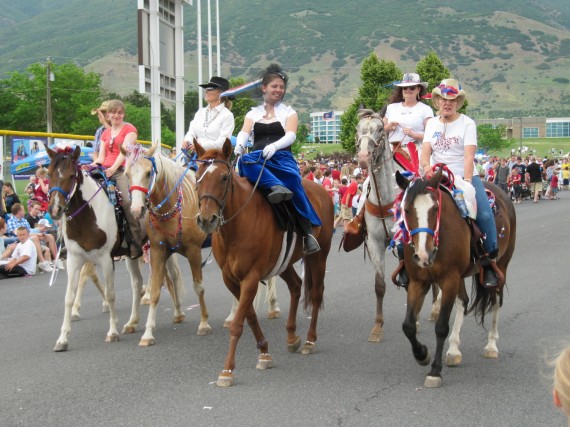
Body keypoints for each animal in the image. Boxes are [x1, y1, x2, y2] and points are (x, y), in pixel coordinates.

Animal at [46, 145, 182, 352]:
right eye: (49, 174)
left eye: (70, 175)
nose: (55, 209)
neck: (88, 215)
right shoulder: (74, 259)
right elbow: (69, 297)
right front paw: (62, 339)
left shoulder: (105, 259)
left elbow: (110, 295)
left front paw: (112, 332)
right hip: (133, 255)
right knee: (137, 283)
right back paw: (132, 322)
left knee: (172, 276)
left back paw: (178, 313)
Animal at [193, 140, 332, 388]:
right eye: (197, 176)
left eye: (224, 177)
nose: (206, 219)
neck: (236, 225)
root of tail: (322, 191)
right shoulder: (230, 279)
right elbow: (248, 316)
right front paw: (265, 353)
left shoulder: (251, 277)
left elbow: (238, 323)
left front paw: (227, 370)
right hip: (283, 263)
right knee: (296, 286)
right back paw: (292, 336)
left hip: (319, 256)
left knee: (316, 294)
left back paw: (309, 340)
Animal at [356, 109, 440, 344]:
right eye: (358, 129)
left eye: (379, 129)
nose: (363, 157)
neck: (385, 197)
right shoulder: (375, 242)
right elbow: (379, 285)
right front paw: (377, 327)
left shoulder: (409, 242)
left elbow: (414, 279)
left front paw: (416, 321)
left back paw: (435, 309)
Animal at [394, 169, 516, 390]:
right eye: (406, 210)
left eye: (435, 208)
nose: (423, 255)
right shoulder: (418, 282)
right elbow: (408, 326)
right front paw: (422, 354)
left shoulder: (449, 278)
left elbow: (441, 326)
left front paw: (434, 371)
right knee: (463, 301)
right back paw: (453, 350)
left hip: (501, 266)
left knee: (496, 302)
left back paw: (491, 345)